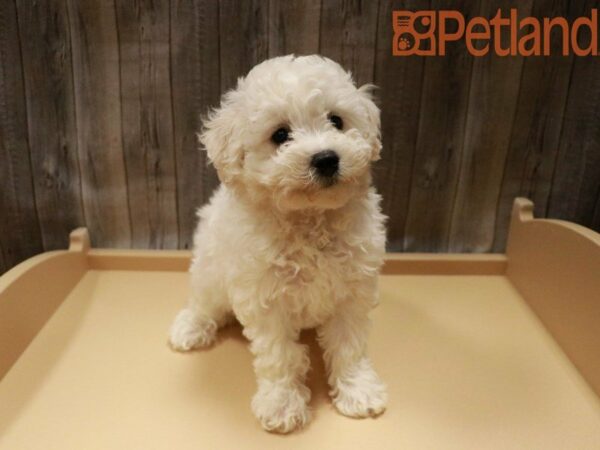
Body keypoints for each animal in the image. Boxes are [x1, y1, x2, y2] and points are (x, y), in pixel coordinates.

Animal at [166, 53, 386, 432]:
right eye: (280, 135)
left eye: (336, 120)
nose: (326, 158)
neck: (309, 218)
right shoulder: (266, 297)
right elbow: (278, 355)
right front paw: (282, 404)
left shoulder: (352, 290)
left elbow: (349, 345)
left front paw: (358, 390)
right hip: (210, 268)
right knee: (203, 301)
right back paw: (189, 327)